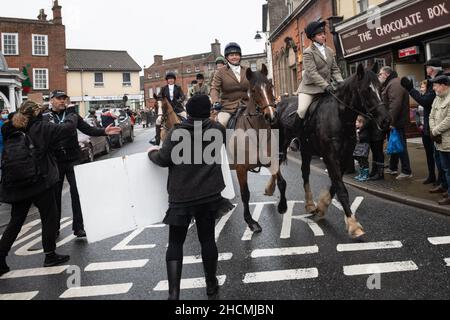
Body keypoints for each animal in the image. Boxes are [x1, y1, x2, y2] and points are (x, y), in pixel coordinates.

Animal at [227, 63, 286, 232]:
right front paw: (250, 221)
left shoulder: (272, 161)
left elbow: (282, 183)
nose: (271, 116)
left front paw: (282, 206)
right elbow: (245, 194)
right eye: (253, 90)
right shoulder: (241, 168)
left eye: (270, 86)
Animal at [276, 63, 388, 238]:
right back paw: (279, 201)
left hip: (306, 150)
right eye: (366, 90)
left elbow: (336, 184)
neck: (340, 116)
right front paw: (353, 225)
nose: (385, 121)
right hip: (282, 144)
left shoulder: (344, 156)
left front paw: (322, 207)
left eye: (381, 88)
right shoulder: (330, 156)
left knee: (305, 172)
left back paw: (310, 204)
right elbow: (341, 188)